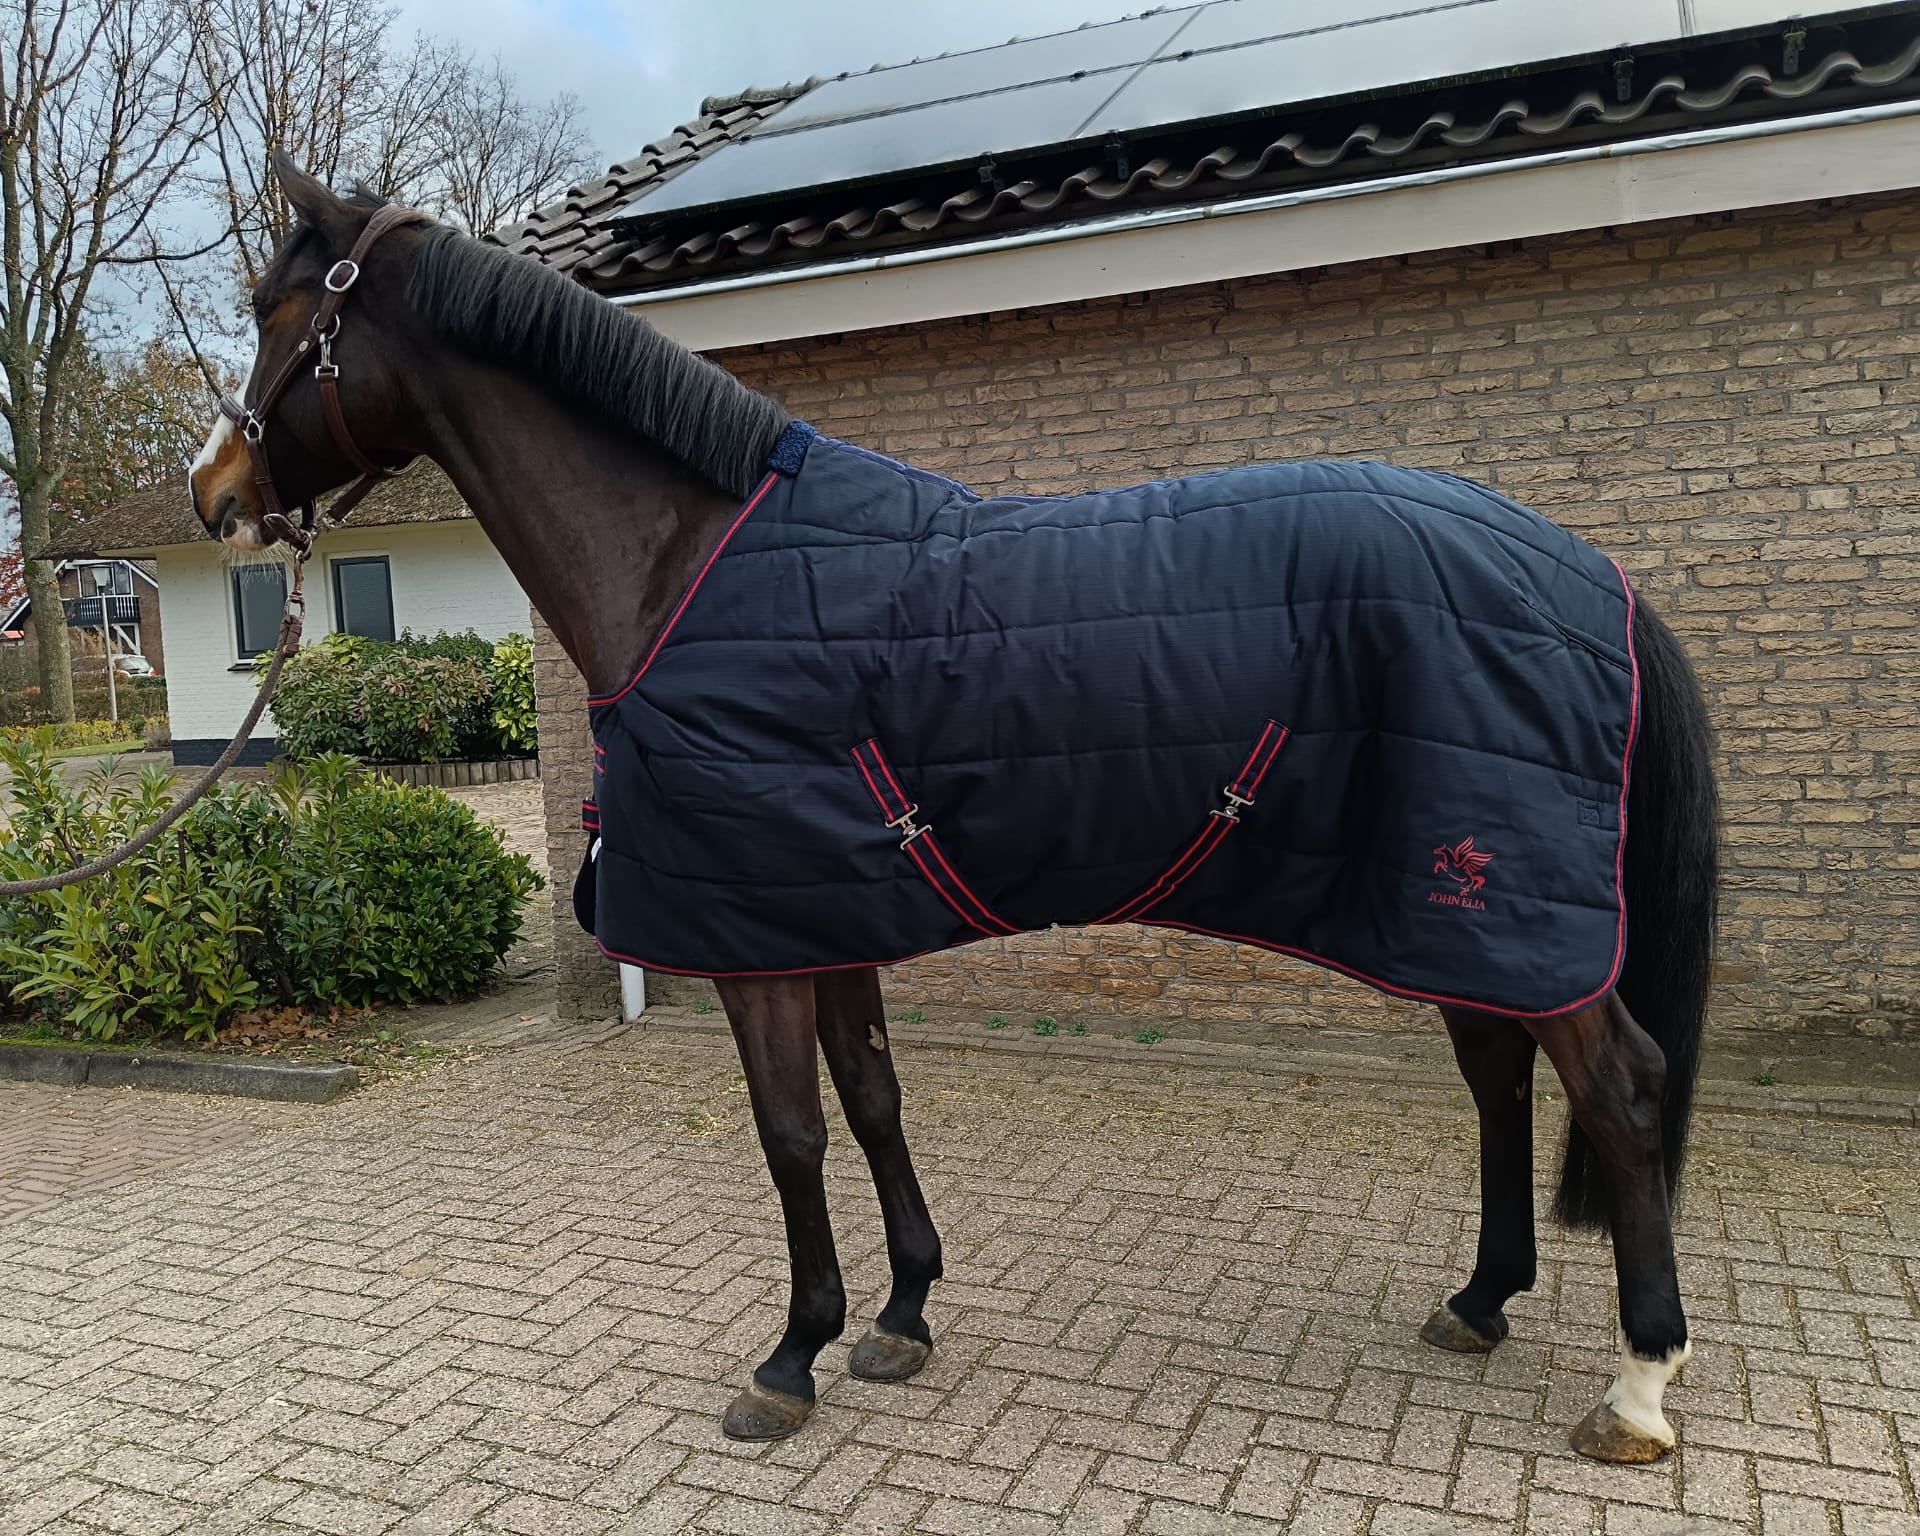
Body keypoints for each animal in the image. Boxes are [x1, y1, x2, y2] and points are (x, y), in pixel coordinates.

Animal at [190, 156, 1718, 1467]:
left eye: (275, 311)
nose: (214, 495)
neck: (689, 563)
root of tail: (1586, 573)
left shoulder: (758, 940)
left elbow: (791, 1134)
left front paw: (789, 1359)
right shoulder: (827, 908)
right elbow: (872, 1101)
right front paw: (902, 1315)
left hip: (1504, 903)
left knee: (1623, 1090)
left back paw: (1639, 1385)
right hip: (1456, 913)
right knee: (1499, 1076)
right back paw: (1479, 1301)